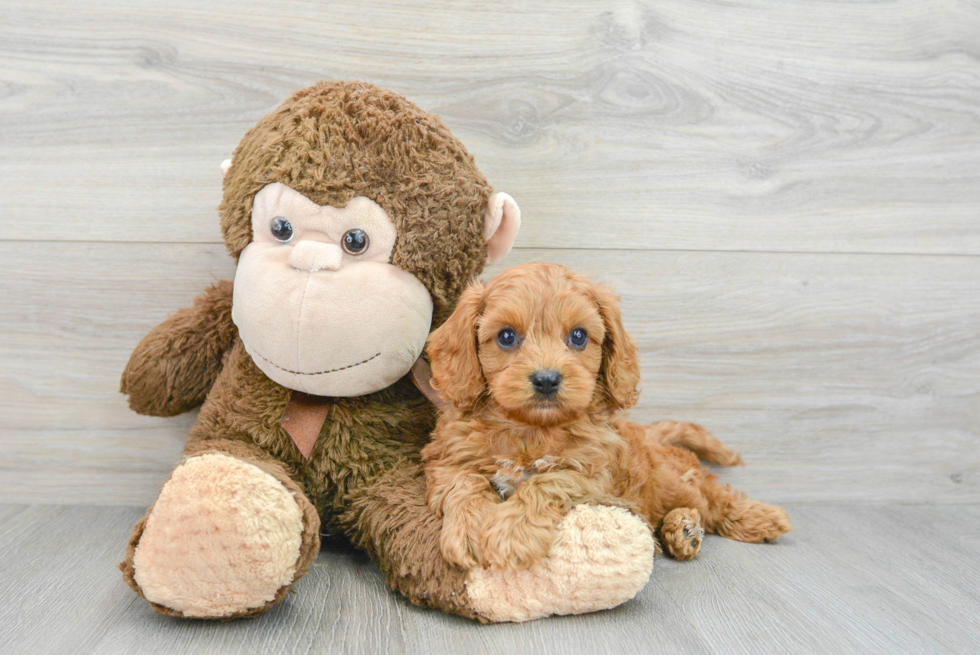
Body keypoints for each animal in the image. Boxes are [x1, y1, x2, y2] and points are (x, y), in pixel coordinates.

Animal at [424, 264, 792, 572]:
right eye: (506, 336)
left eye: (578, 336)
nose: (546, 379)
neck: (531, 428)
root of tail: (651, 434)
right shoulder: (447, 460)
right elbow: (465, 481)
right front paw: (470, 527)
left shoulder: (591, 473)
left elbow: (545, 482)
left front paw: (511, 533)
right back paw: (682, 530)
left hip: (670, 478)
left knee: (712, 494)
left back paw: (757, 517)